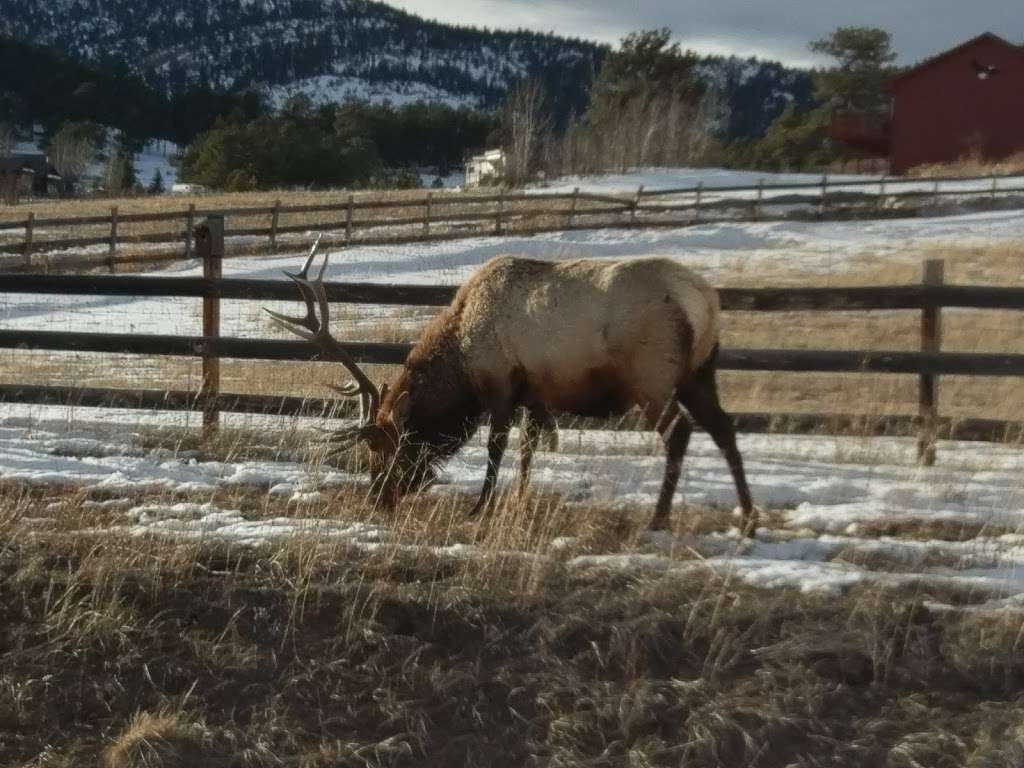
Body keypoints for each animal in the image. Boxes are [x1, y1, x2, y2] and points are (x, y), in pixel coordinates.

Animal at [268, 239, 757, 536]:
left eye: (383, 448)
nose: (377, 498)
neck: (461, 361)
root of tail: (705, 302)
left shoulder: (500, 383)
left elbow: (496, 447)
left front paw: (480, 506)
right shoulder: (535, 392)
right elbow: (528, 449)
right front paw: (519, 501)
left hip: (652, 376)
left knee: (681, 433)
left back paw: (658, 518)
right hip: (700, 373)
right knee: (725, 430)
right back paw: (749, 519)